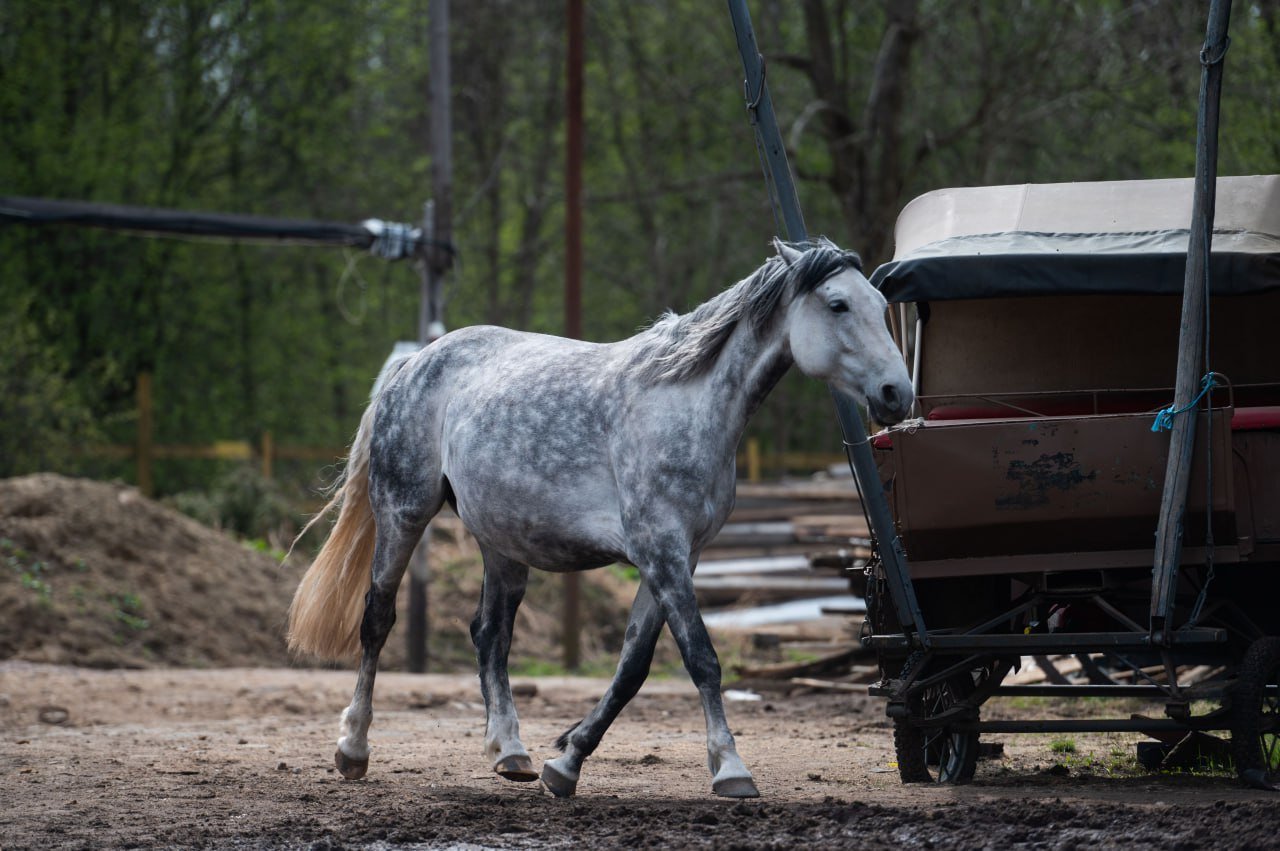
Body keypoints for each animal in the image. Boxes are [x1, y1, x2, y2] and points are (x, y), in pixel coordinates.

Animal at [288, 236, 911, 798]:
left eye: (881, 303)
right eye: (838, 304)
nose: (896, 394)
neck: (686, 403)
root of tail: (414, 362)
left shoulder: (679, 557)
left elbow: (633, 665)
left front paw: (565, 763)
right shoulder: (661, 553)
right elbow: (701, 658)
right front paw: (731, 769)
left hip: (502, 543)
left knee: (490, 635)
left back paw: (510, 752)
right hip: (404, 514)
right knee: (377, 619)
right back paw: (353, 749)